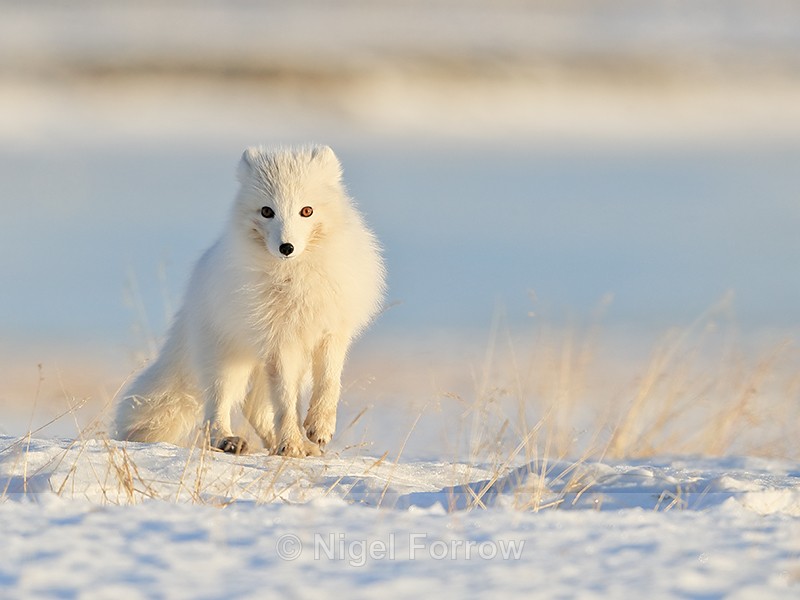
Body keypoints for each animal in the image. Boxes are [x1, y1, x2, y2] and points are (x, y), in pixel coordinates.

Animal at [114, 145, 386, 457]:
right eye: (267, 211)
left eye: (306, 211)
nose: (286, 247)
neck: (295, 278)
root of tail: (192, 296)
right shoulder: (278, 342)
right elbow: (285, 403)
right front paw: (291, 443)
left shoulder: (331, 332)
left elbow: (329, 383)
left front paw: (318, 428)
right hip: (226, 363)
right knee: (216, 411)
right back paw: (229, 440)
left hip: (282, 364)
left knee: (253, 408)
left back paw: (291, 445)